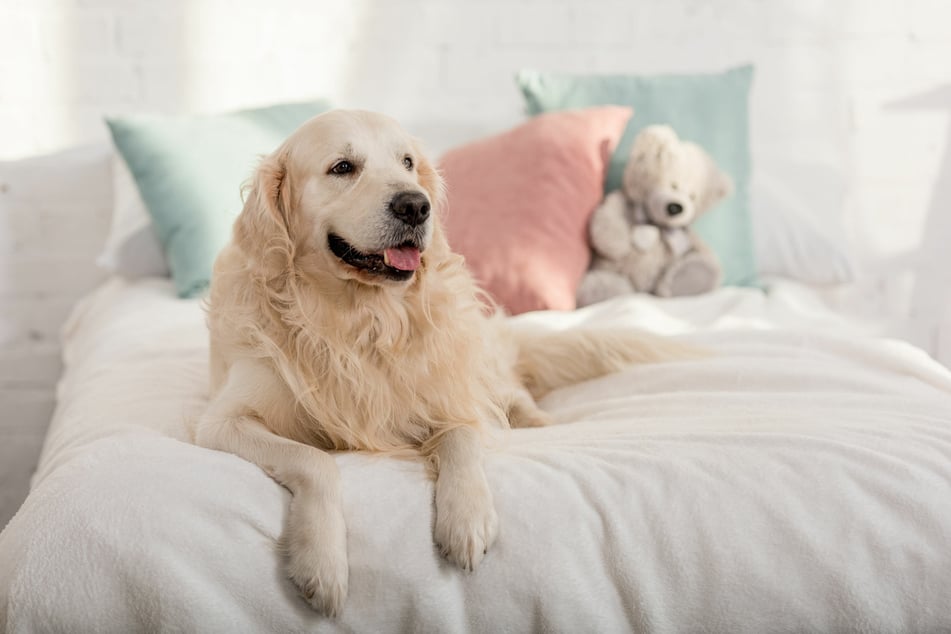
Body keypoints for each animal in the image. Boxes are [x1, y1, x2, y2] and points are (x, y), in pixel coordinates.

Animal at [195, 108, 700, 612]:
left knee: (513, 393)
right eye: (342, 167)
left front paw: (467, 518)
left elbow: (462, 438)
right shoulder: (223, 422)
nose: (416, 206)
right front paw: (322, 562)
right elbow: (314, 461)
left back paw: (536, 420)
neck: (359, 319)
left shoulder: (450, 395)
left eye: (407, 163)